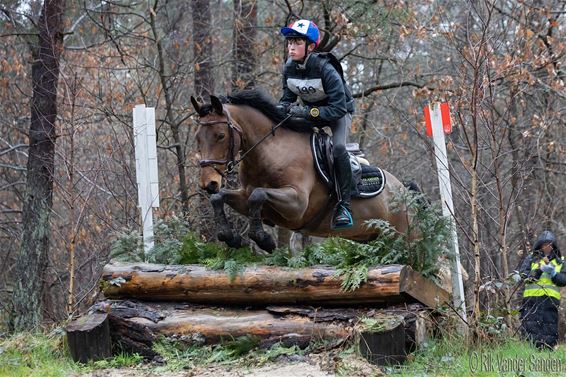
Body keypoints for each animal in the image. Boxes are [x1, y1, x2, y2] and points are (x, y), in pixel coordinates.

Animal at [193, 89, 414, 251]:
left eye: (221, 135)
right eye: (197, 137)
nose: (208, 183)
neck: (270, 152)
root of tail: (404, 190)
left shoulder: (297, 204)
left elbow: (259, 194)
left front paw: (263, 239)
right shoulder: (247, 197)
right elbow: (220, 197)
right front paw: (229, 236)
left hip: (403, 238)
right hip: (373, 237)